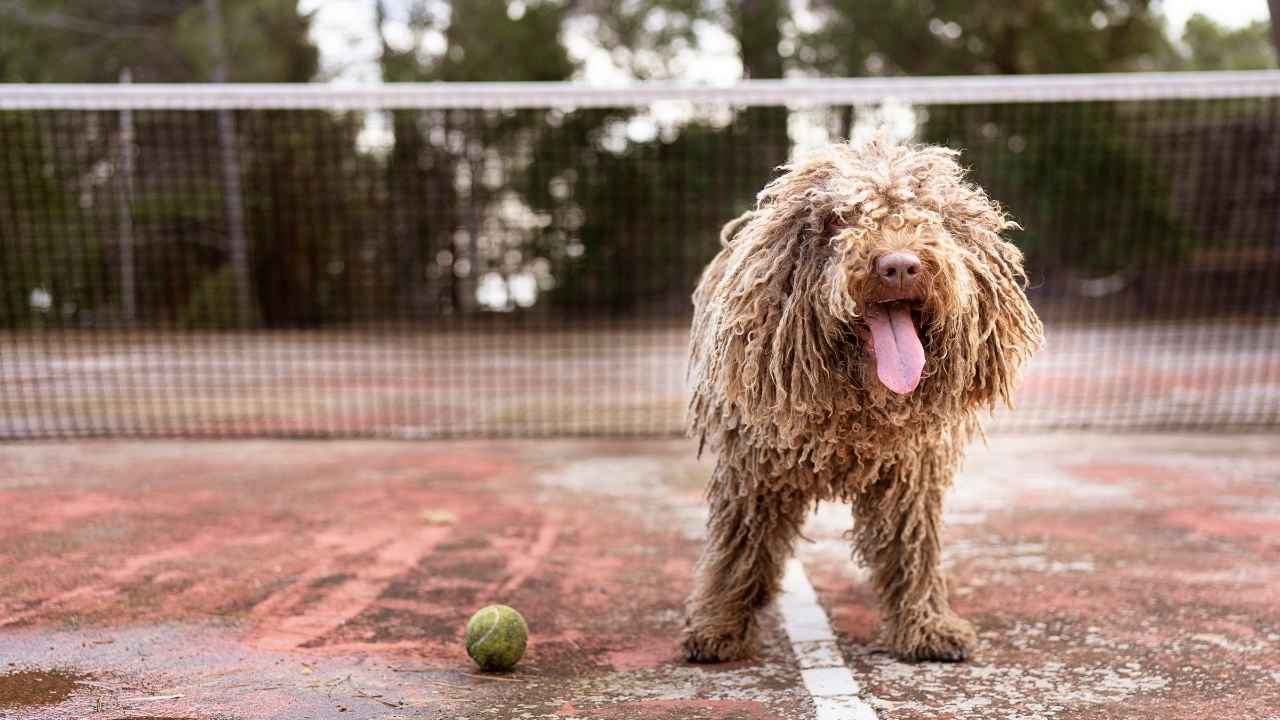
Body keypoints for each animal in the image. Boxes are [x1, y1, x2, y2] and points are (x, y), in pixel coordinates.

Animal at [680, 134, 1039, 661]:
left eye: (929, 214)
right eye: (837, 219)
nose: (899, 264)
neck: (858, 405)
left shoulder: (910, 477)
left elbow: (912, 551)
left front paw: (926, 626)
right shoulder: (754, 471)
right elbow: (739, 547)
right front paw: (718, 625)